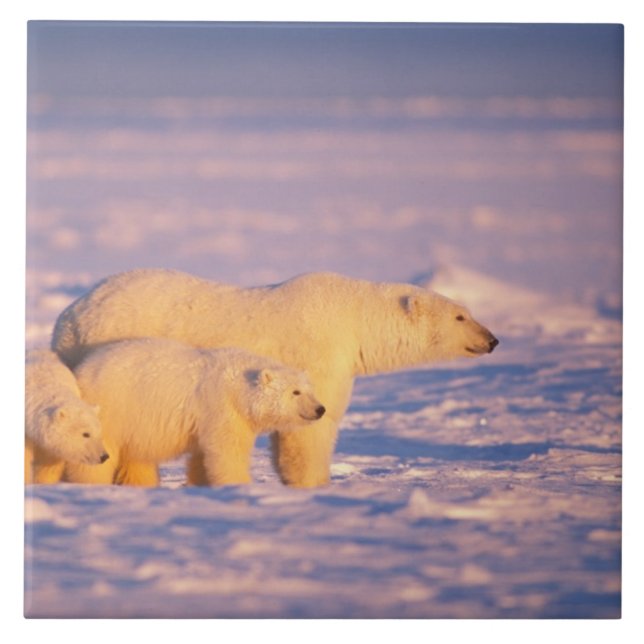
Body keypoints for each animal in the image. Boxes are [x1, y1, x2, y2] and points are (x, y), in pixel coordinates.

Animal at [64, 338, 326, 487]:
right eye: (295, 392)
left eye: (309, 389)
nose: (320, 409)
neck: (237, 387)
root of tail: (82, 370)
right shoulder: (221, 408)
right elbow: (228, 452)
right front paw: (240, 485)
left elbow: (203, 456)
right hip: (114, 408)